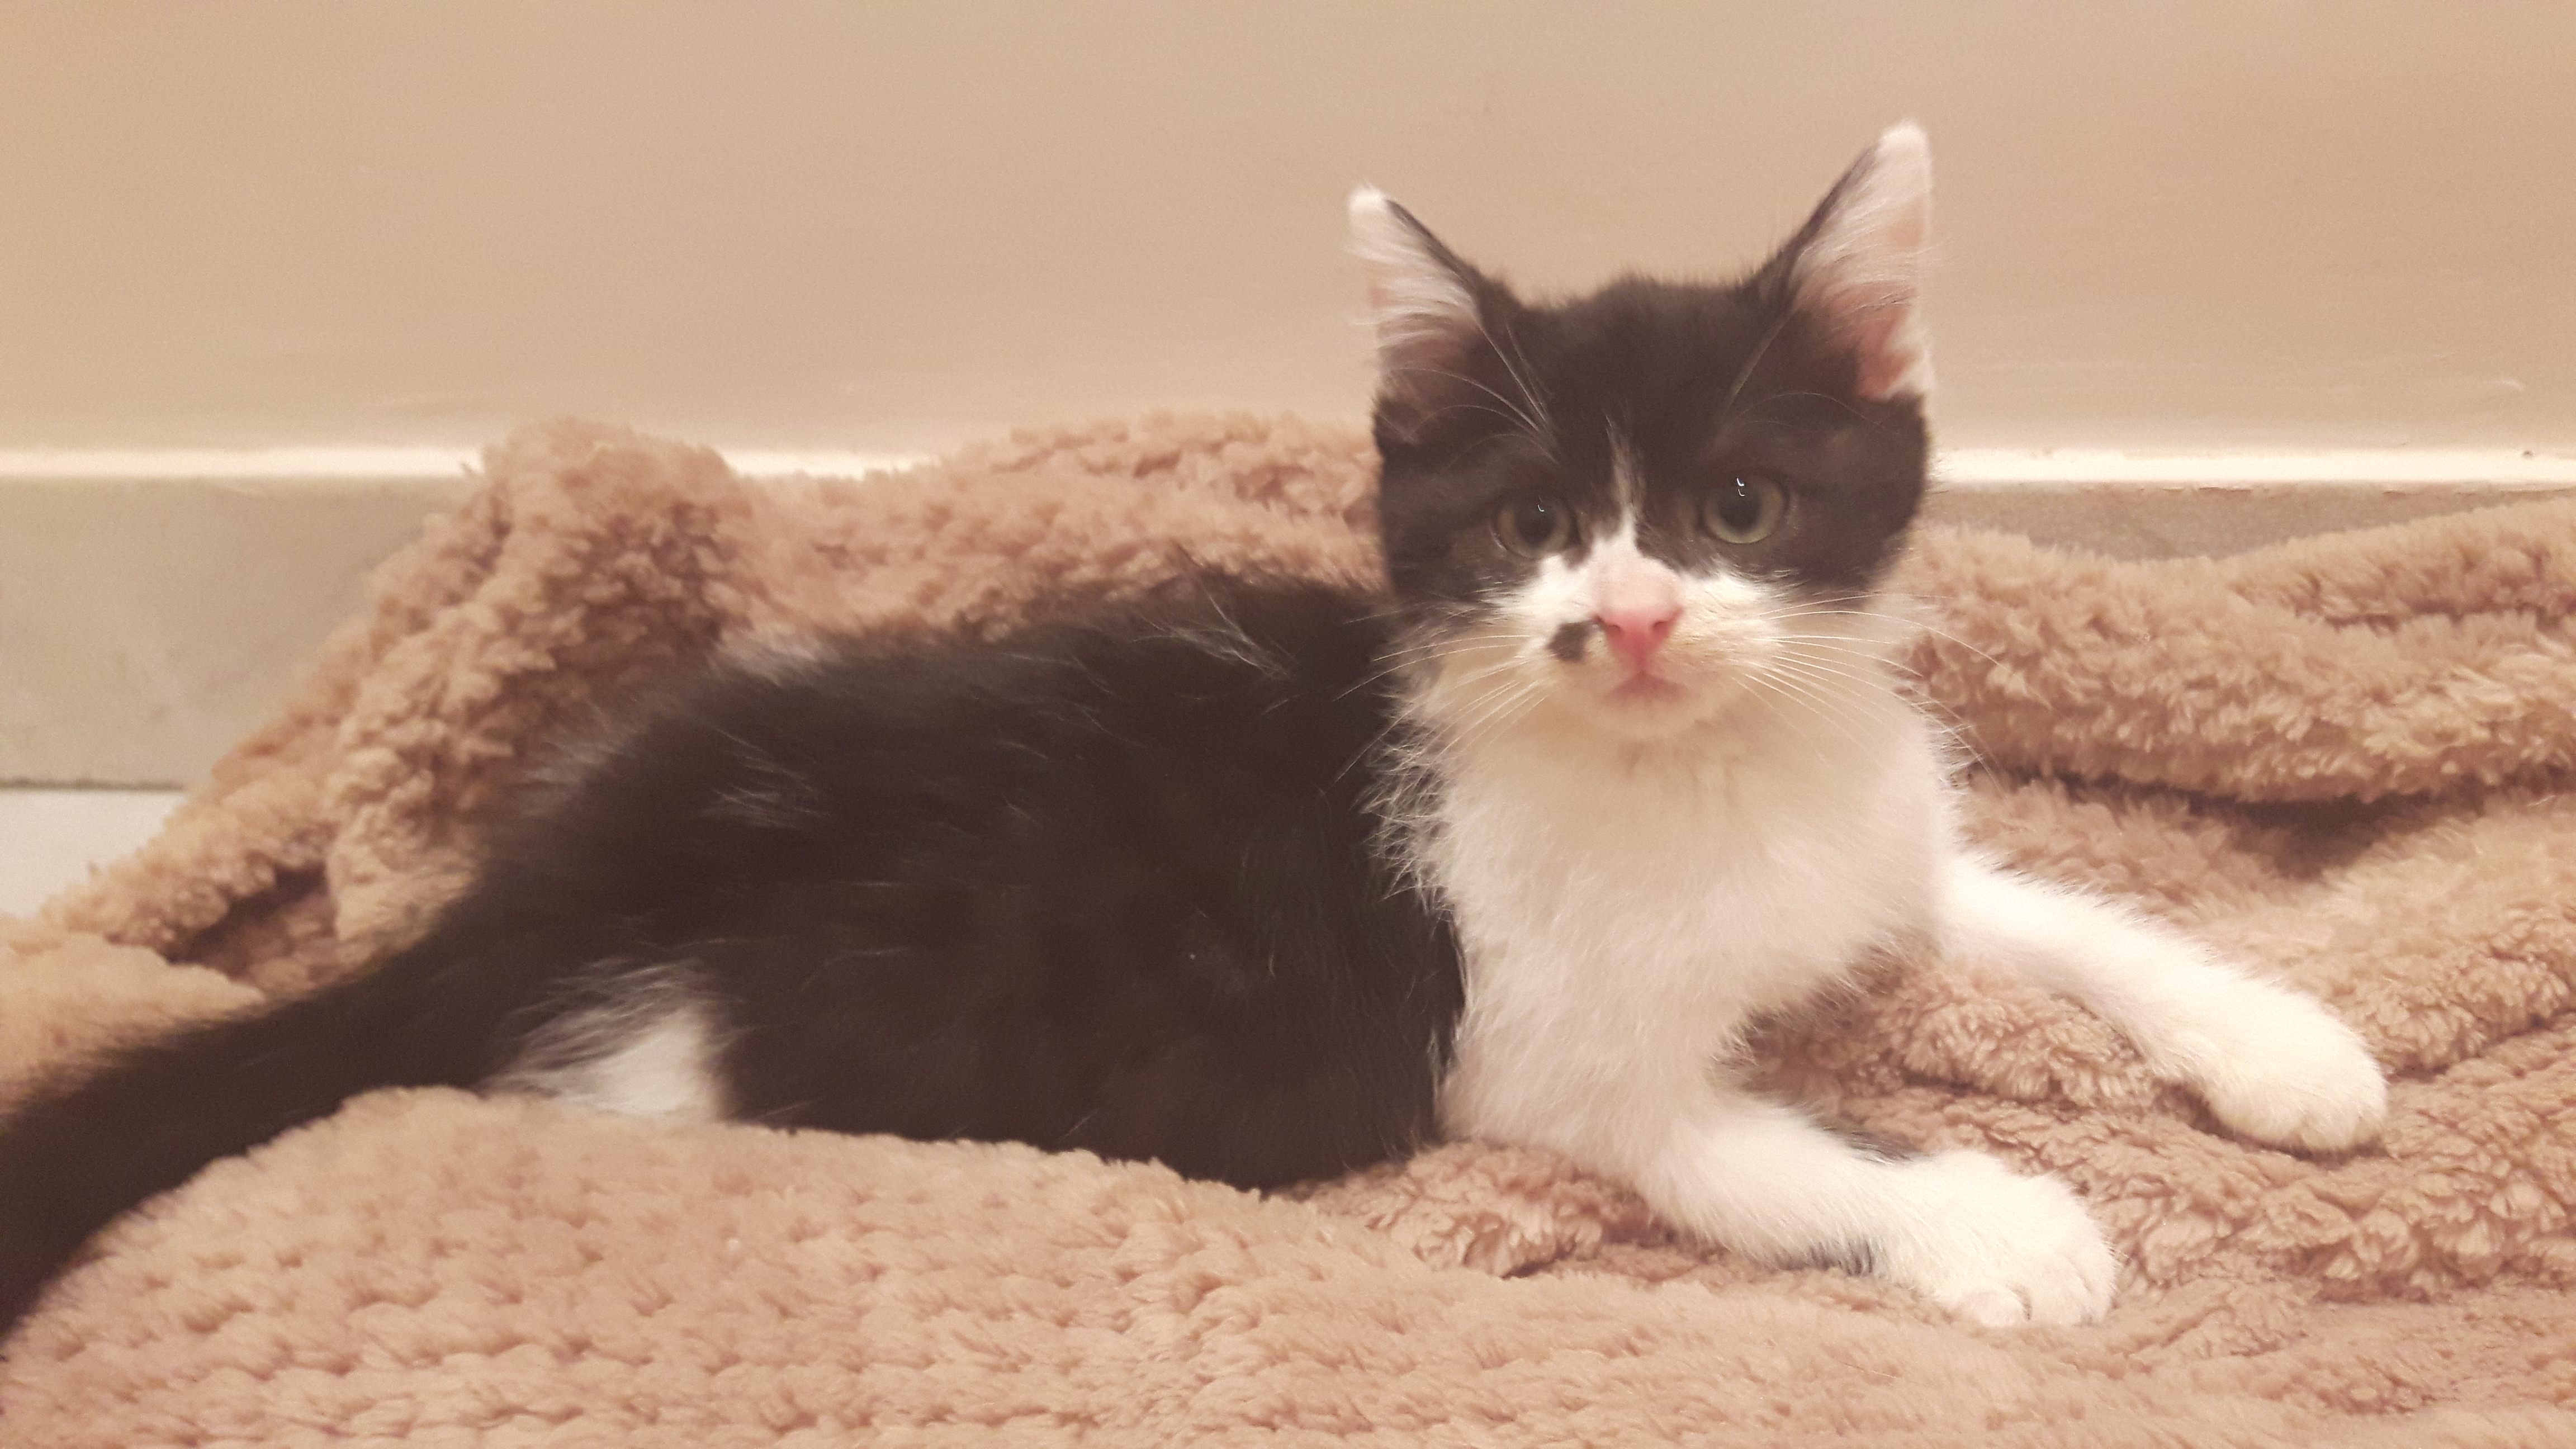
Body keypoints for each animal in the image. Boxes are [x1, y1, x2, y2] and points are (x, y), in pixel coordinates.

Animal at [0, 124, 2386, 1338]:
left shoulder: (1868, 817)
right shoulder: (1523, 1056)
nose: (1618, 618)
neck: (1701, 773)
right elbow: (1760, 1148)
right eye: (1531, 527)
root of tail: (553, 883)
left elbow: (2053, 907)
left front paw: (2285, 1045)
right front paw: (1998, 1225)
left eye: (1733, 509)